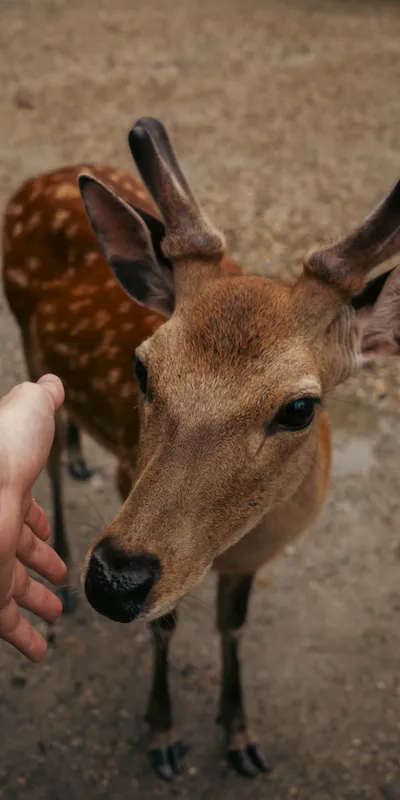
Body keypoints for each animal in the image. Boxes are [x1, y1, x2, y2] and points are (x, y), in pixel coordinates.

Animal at [2, 117, 400, 781]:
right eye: (141, 366)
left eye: (300, 408)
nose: (114, 580)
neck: (235, 539)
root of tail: (38, 180)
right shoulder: (127, 477)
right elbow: (165, 627)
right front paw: (163, 735)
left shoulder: (253, 558)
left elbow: (232, 628)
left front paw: (240, 738)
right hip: (28, 346)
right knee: (49, 460)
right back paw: (60, 572)